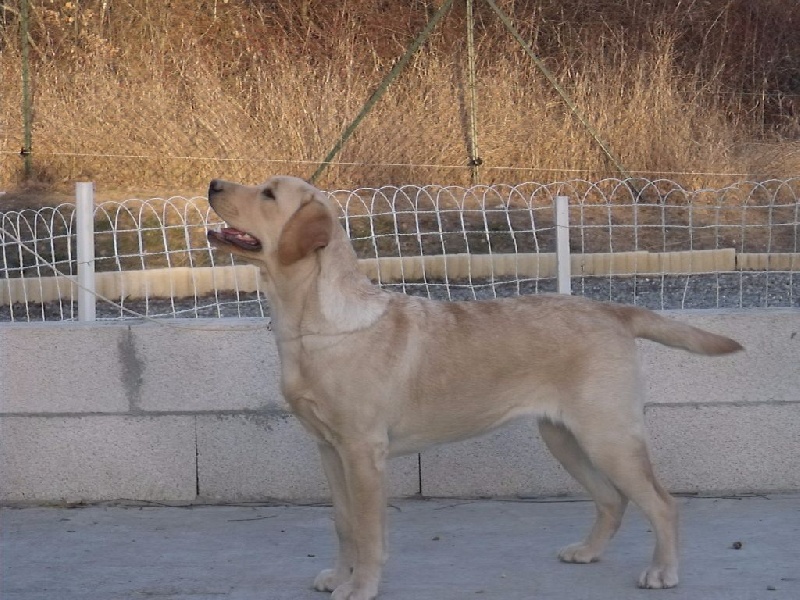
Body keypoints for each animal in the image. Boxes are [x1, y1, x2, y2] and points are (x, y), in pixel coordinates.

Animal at [208, 176, 744, 600]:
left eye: (268, 193)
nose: (213, 184)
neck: (311, 323)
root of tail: (612, 310)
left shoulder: (362, 452)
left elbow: (366, 530)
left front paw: (361, 587)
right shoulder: (328, 449)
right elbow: (342, 524)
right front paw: (340, 577)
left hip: (607, 436)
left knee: (662, 502)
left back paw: (663, 572)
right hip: (563, 438)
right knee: (613, 500)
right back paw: (588, 552)